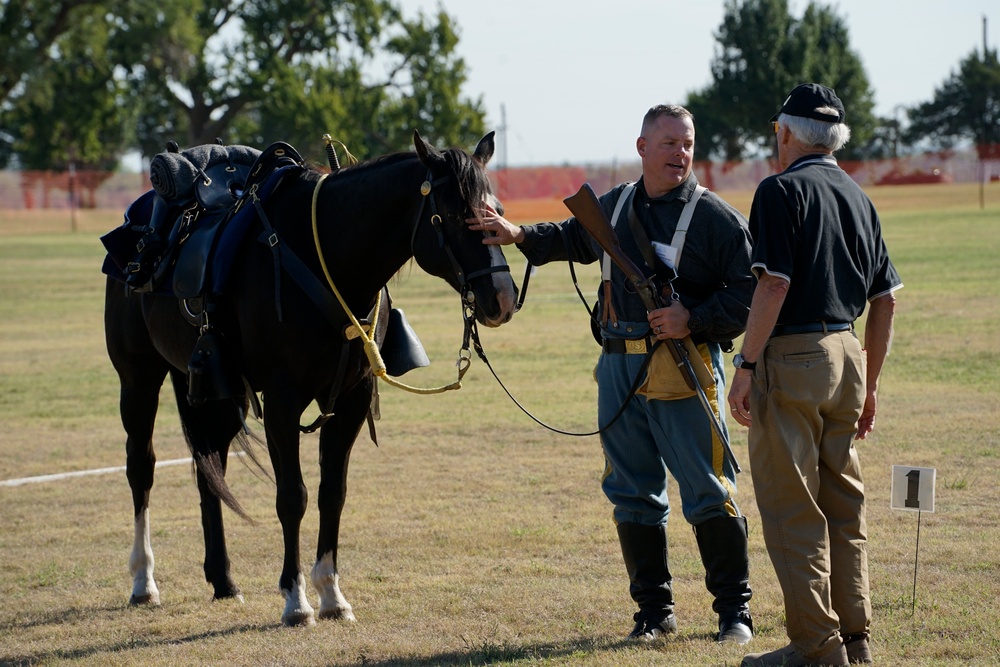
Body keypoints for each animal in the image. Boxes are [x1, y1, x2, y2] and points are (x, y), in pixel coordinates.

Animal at [105, 132, 520, 628]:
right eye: (455, 215)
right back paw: (142, 580)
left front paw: (332, 594)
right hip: (138, 379)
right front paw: (296, 599)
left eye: (495, 209)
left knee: (210, 470)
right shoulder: (283, 401)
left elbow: (331, 493)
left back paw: (224, 581)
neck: (325, 261)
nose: (503, 298)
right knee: (140, 467)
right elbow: (293, 496)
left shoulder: (352, 399)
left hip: (212, 390)